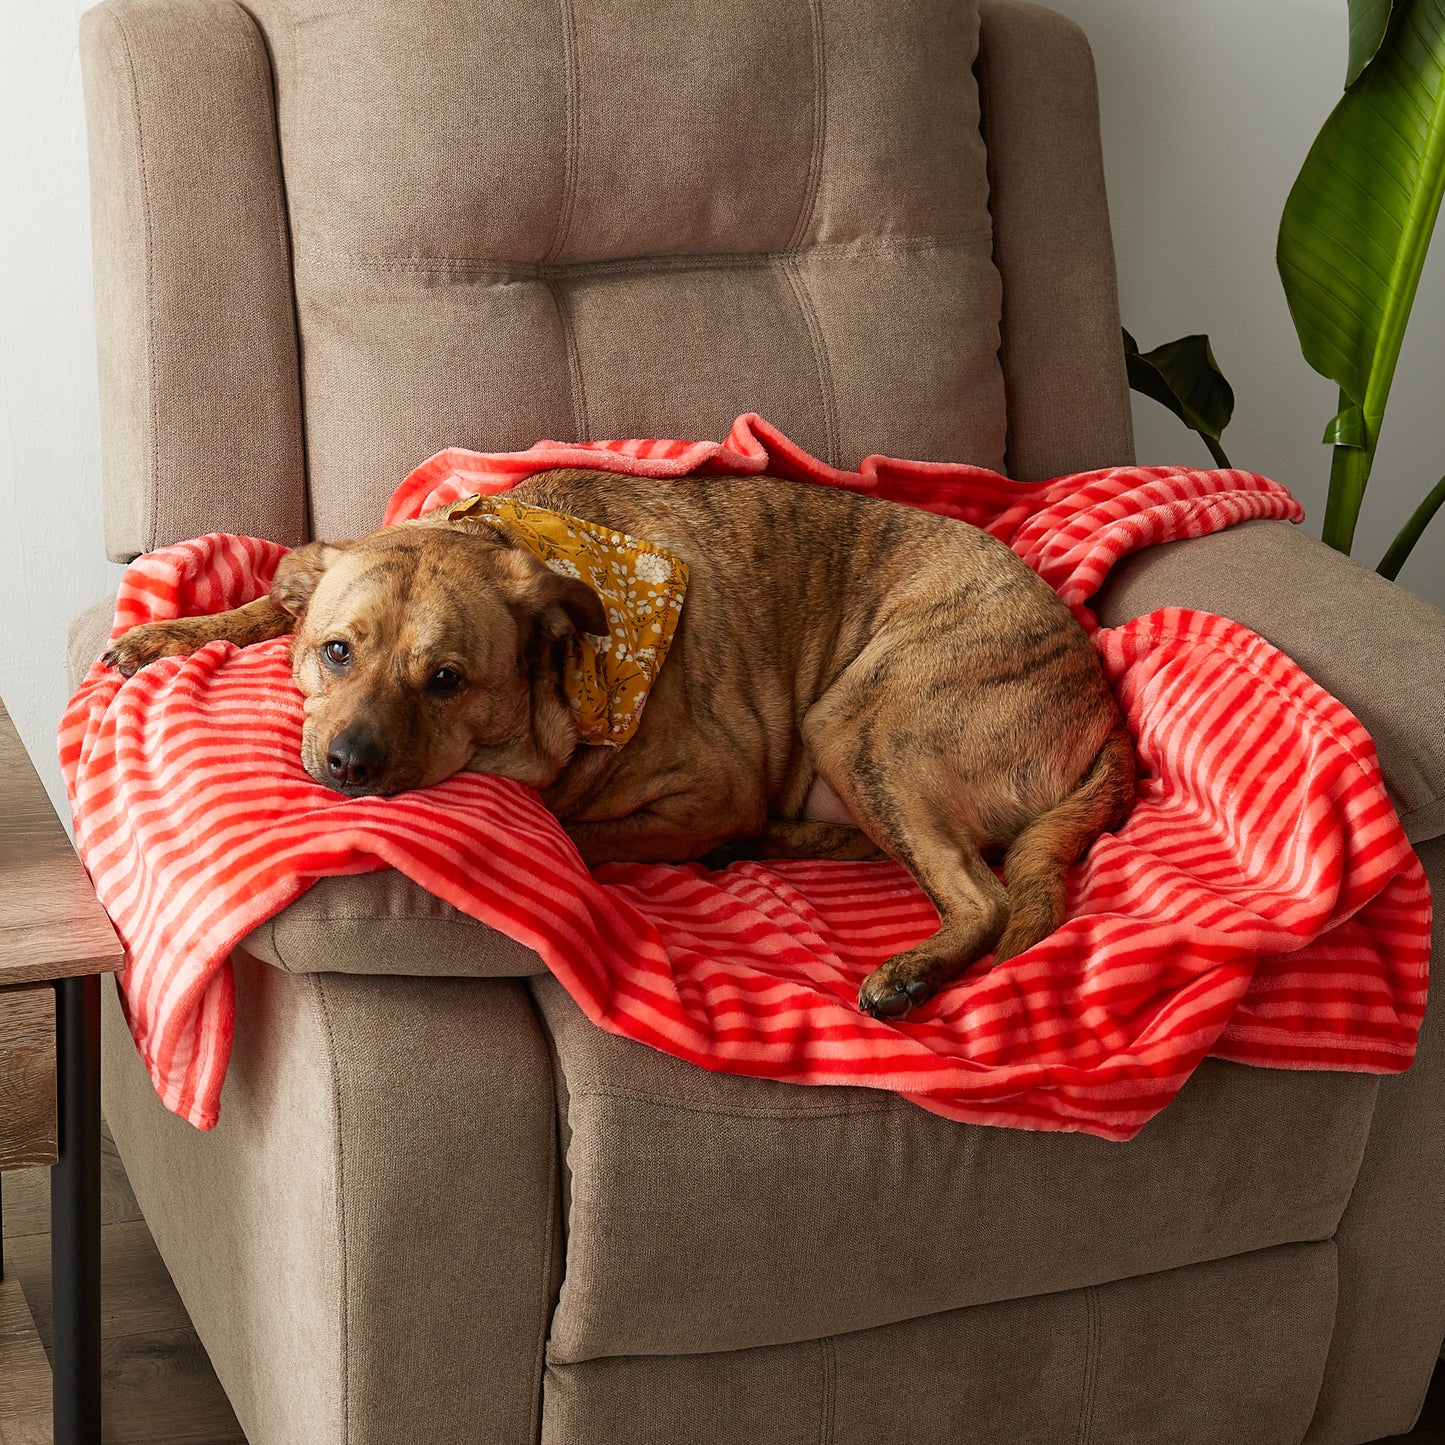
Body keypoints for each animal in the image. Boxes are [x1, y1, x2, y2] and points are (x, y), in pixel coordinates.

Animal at [106, 471, 1132, 1017]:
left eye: (446, 680)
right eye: (336, 650)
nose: (349, 765)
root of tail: (1103, 701)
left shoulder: (713, 784)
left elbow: (575, 831)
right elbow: (263, 598)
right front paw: (171, 633)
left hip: (860, 720)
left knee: (981, 894)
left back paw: (908, 971)